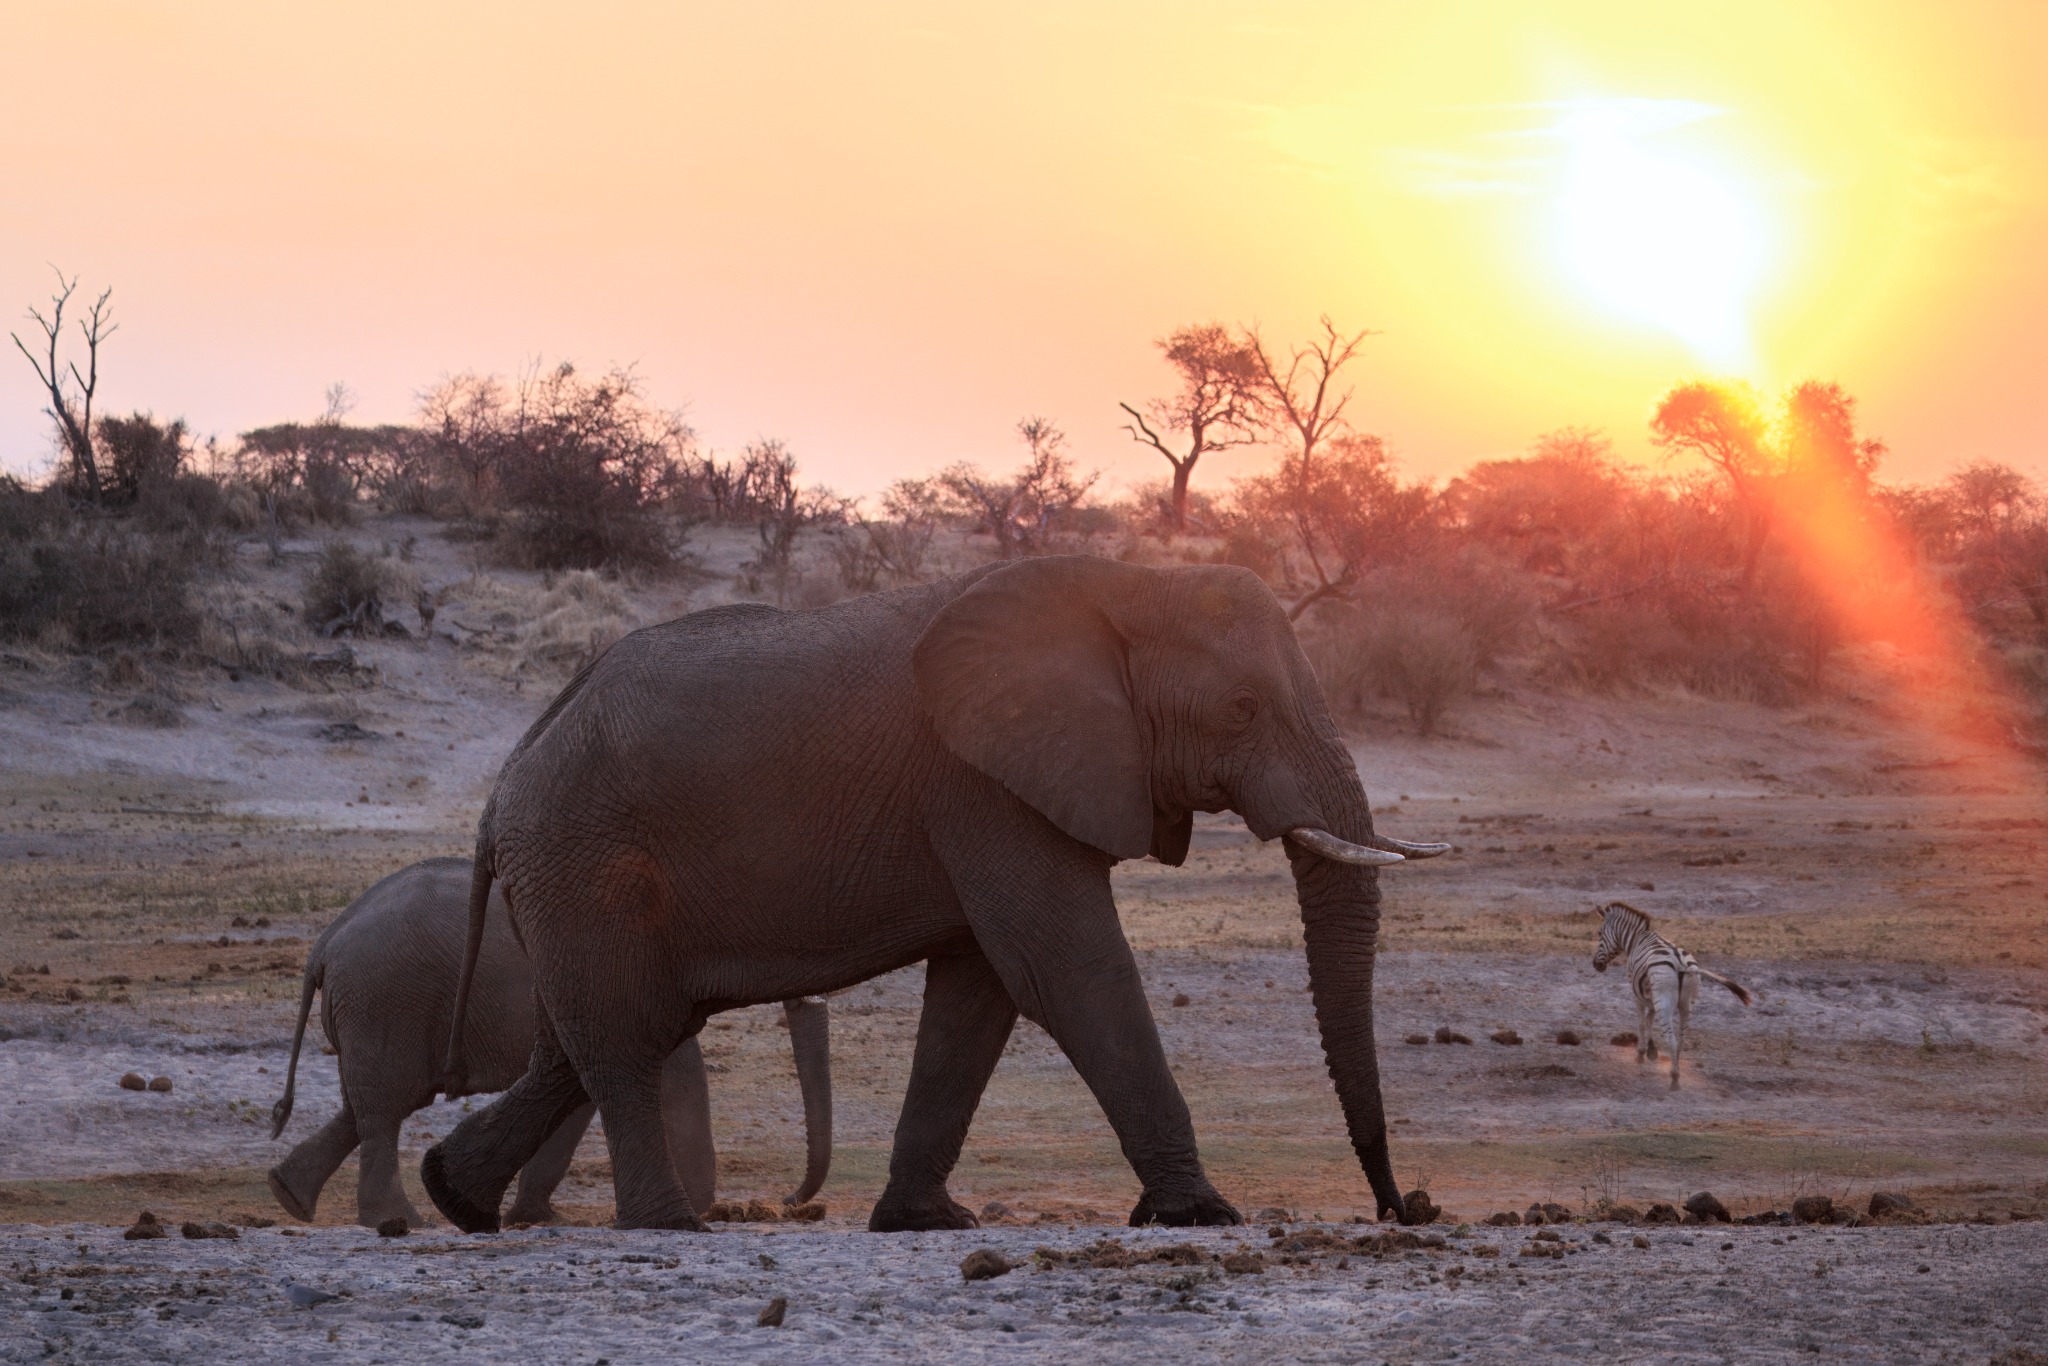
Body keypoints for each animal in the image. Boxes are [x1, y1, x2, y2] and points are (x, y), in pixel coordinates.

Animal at [266, 857, 833, 1228]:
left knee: (361, 1109)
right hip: (386, 1003)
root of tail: (323, 946)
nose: (787, 1201)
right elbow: (676, 1076)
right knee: (384, 1110)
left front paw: (534, 1216)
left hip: (369, 1010)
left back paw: (291, 1198)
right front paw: (694, 1208)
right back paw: (400, 1222)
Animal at [421, 558, 1444, 1234]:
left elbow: (979, 995)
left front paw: (926, 1223)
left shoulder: (987, 790)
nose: (1404, 1207)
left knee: (584, 1042)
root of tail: (507, 777)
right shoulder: (983, 782)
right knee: (622, 1038)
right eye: (1241, 711)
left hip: (567, 878)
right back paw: (667, 1227)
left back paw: (454, 1198)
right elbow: (1067, 970)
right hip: (582, 860)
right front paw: (1201, 1215)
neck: (1120, 580)